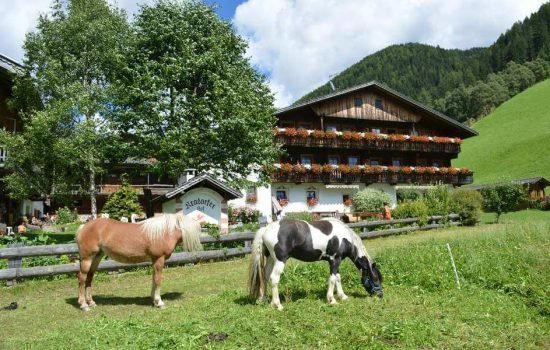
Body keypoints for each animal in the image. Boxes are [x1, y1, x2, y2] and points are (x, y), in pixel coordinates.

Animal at [74, 212, 202, 310]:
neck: (163, 232)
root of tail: (84, 227)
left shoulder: (154, 261)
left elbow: (154, 279)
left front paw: (153, 300)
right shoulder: (159, 259)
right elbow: (158, 279)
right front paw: (159, 302)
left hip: (96, 257)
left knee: (89, 278)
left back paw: (91, 302)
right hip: (87, 259)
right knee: (82, 278)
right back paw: (84, 305)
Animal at [250, 217, 384, 310]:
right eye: (375, 278)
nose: (380, 294)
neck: (346, 238)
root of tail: (266, 229)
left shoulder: (335, 261)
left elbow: (338, 278)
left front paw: (343, 296)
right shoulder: (335, 260)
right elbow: (332, 279)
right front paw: (332, 300)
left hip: (271, 259)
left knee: (265, 276)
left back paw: (265, 301)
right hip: (280, 260)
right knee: (274, 278)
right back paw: (278, 305)